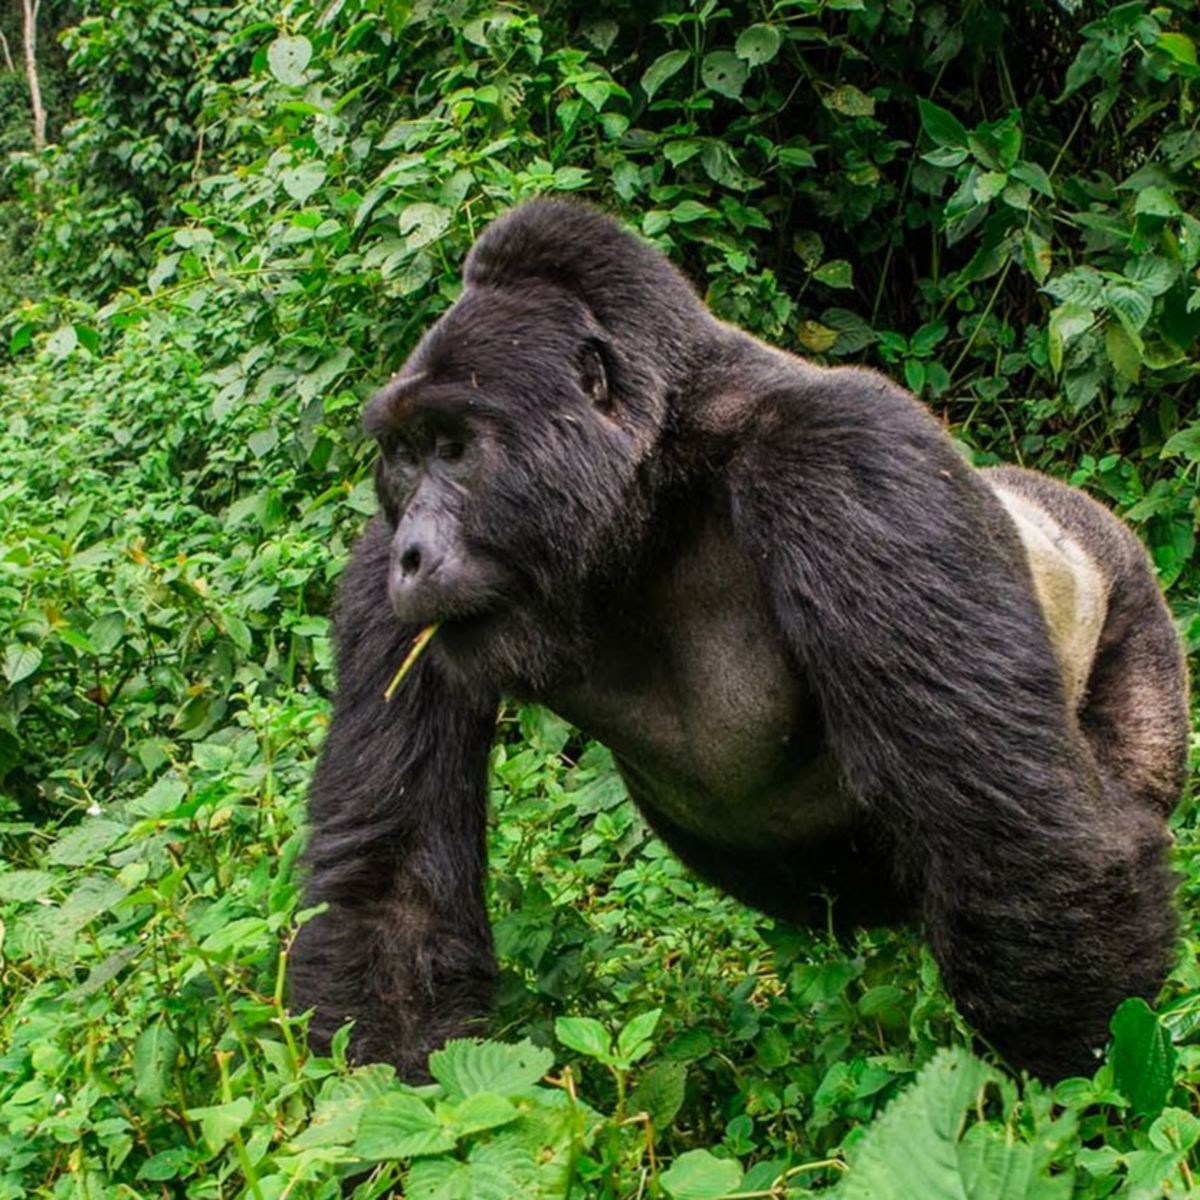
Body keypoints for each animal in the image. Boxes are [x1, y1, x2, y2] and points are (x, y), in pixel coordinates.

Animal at [292, 196, 1190, 1080]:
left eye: (455, 448)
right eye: (403, 457)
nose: (412, 554)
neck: (651, 483)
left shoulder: (848, 458)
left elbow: (1018, 838)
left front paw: (1079, 1096)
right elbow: (395, 891)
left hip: (1133, 602)